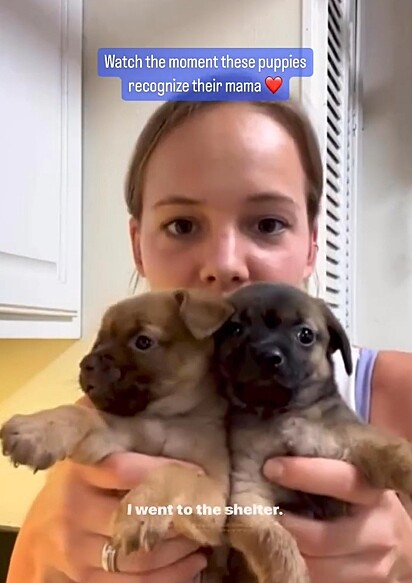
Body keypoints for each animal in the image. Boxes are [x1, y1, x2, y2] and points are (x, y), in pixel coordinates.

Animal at [0, 288, 235, 580]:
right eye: (98, 342)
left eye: (143, 342)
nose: (86, 364)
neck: (163, 418)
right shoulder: (111, 434)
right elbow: (79, 414)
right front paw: (37, 427)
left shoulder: (216, 499)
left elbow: (178, 471)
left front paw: (140, 509)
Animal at [214, 282, 412, 583]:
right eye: (235, 329)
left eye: (305, 335)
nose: (268, 357)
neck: (280, 416)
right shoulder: (247, 496)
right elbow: (273, 541)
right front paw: (290, 574)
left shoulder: (347, 439)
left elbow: (389, 449)